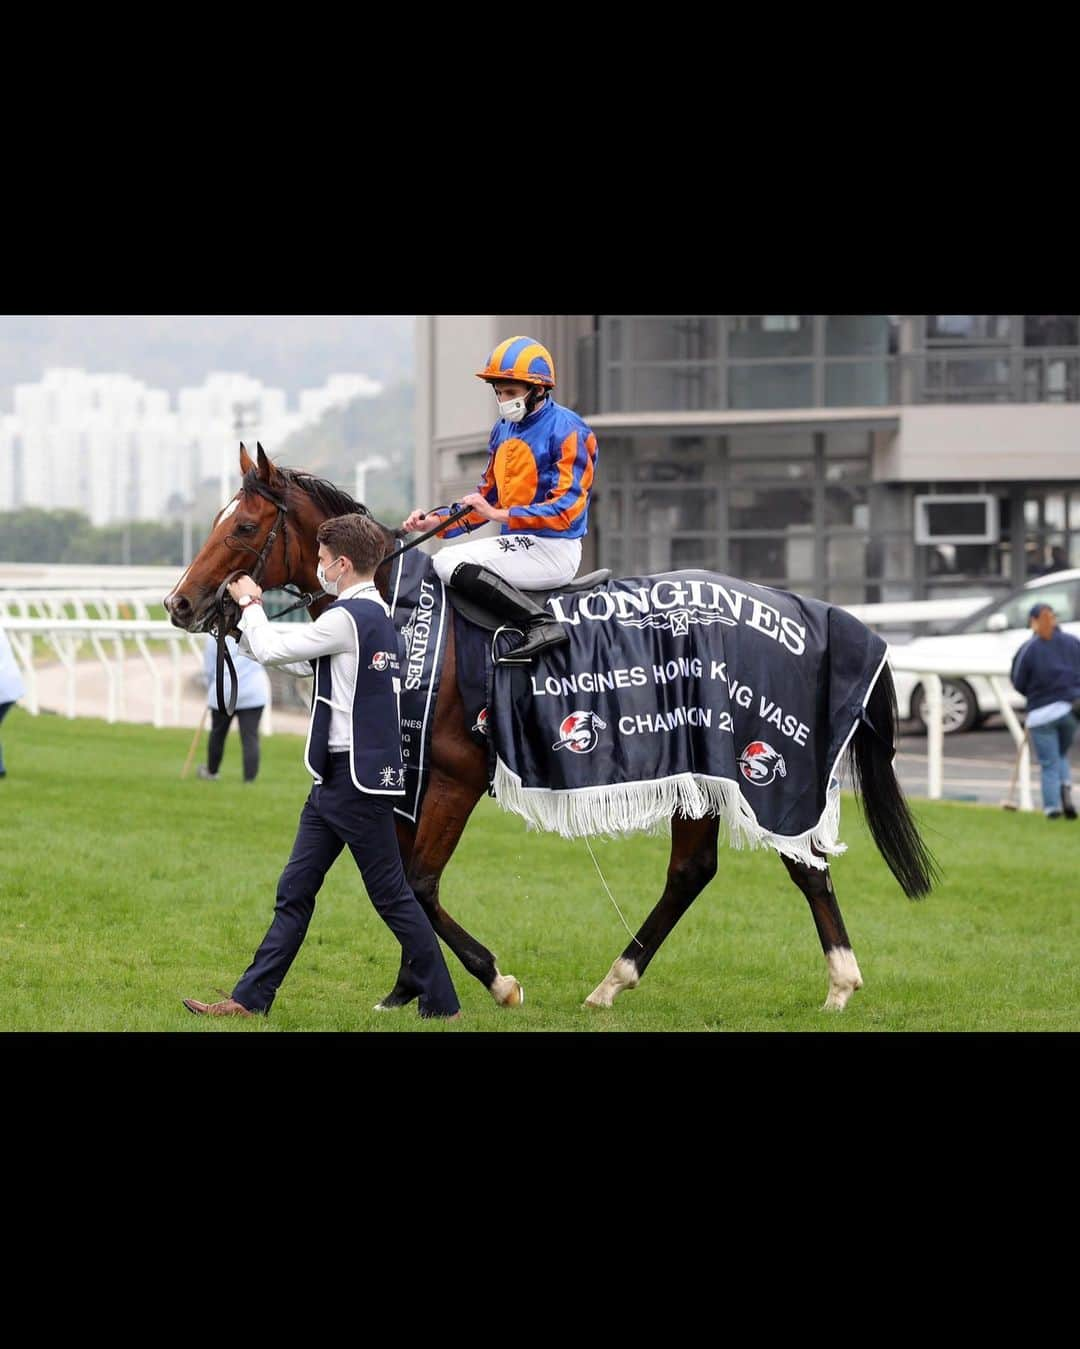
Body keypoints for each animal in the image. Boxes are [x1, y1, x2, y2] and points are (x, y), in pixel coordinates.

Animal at [162, 442, 933, 1014]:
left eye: (242, 526)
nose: (180, 603)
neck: (404, 614)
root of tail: (819, 611)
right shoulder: (404, 774)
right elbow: (397, 883)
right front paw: (409, 986)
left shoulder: (455, 773)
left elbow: (418, 883)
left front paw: (492, 979)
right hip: (702, 771)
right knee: (696, 871)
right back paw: (615, 982)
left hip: (762, 768)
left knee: (800, 861)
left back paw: (839, 982)